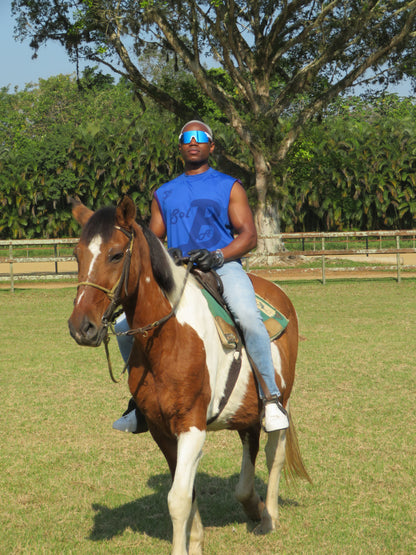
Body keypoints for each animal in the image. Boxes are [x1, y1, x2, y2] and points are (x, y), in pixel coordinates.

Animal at [68, 197, 308, 555]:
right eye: (77, 255)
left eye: (115, 254)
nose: (81, 326)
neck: (169, 339)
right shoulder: (160, 430)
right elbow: (187, 491)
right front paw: (195, 542)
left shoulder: (191, 426)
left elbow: (178, 499)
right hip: (246, 408)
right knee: (249, 448)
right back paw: (254, 506)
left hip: (280, 400)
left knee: (273, 455)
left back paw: (269, 517)